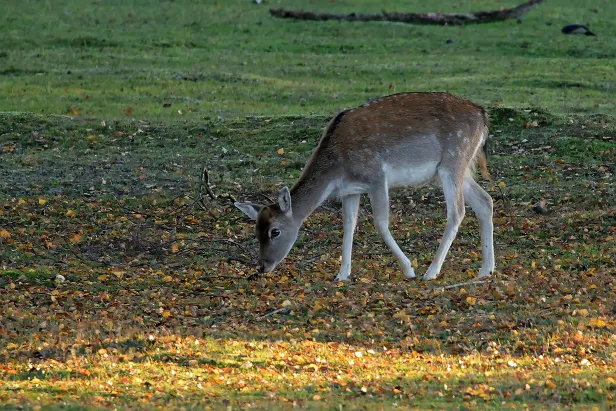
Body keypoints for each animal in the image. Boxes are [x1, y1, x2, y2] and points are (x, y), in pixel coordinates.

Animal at [236, 91, 496, 282]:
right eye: (255, 230)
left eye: (275, 231)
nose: (262, 266)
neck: (337, 169)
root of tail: (483, 115)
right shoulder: (351, 190)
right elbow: (348, 226)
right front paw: (342, 274)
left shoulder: (376, 176)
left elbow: (380, 223)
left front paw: (408, 269)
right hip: (461, 168)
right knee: (485, 201)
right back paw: (486, 270)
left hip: (453, 161)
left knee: (457, 212)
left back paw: (431, 272)